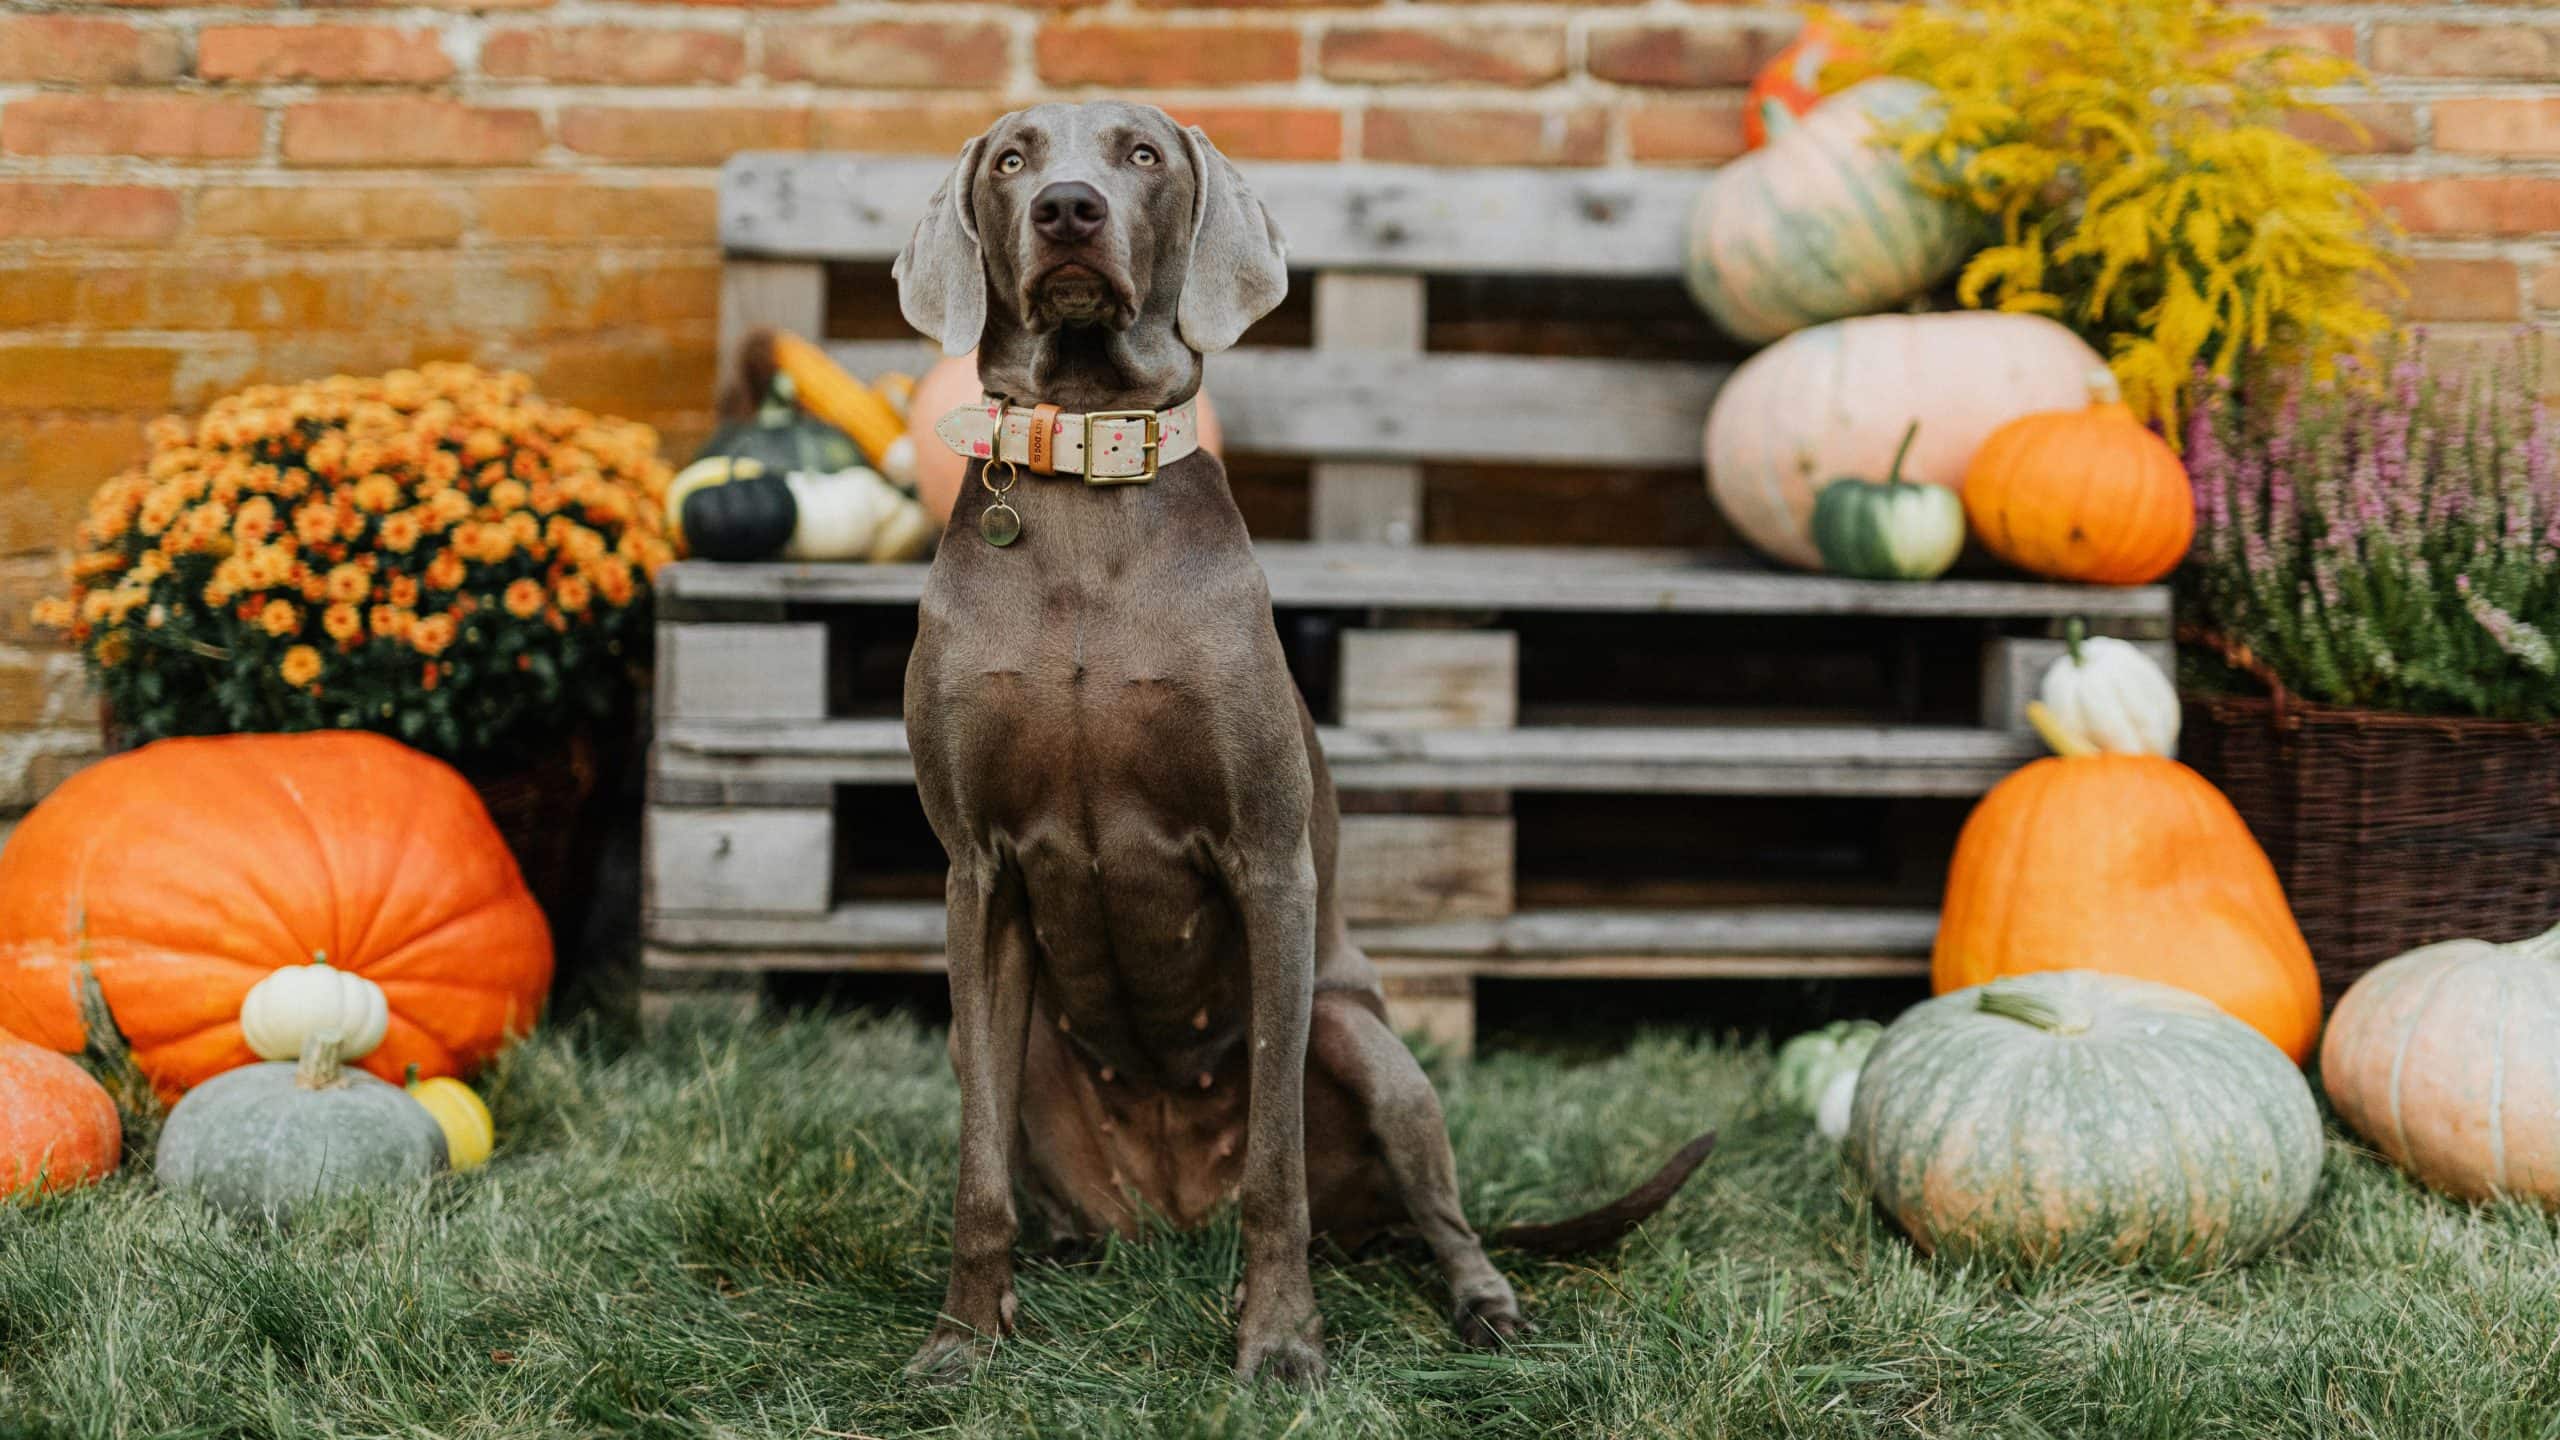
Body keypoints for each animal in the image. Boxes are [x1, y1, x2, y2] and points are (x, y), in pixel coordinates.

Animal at [890, 98, 1710, 1383]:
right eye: (1014, 157)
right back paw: (1056, 1259)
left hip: (1365, 1043)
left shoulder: (1268, 862)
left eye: (1139, 154)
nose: (1066, 209)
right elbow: (977, 1174)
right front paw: (962, 1341)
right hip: (1018, 1053)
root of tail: (1174, 1221)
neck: (1083, 488)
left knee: (1440, 1215)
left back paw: (1482, 1306)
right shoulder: (976, 872)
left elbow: (1275, 1163)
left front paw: (1278, 1344)